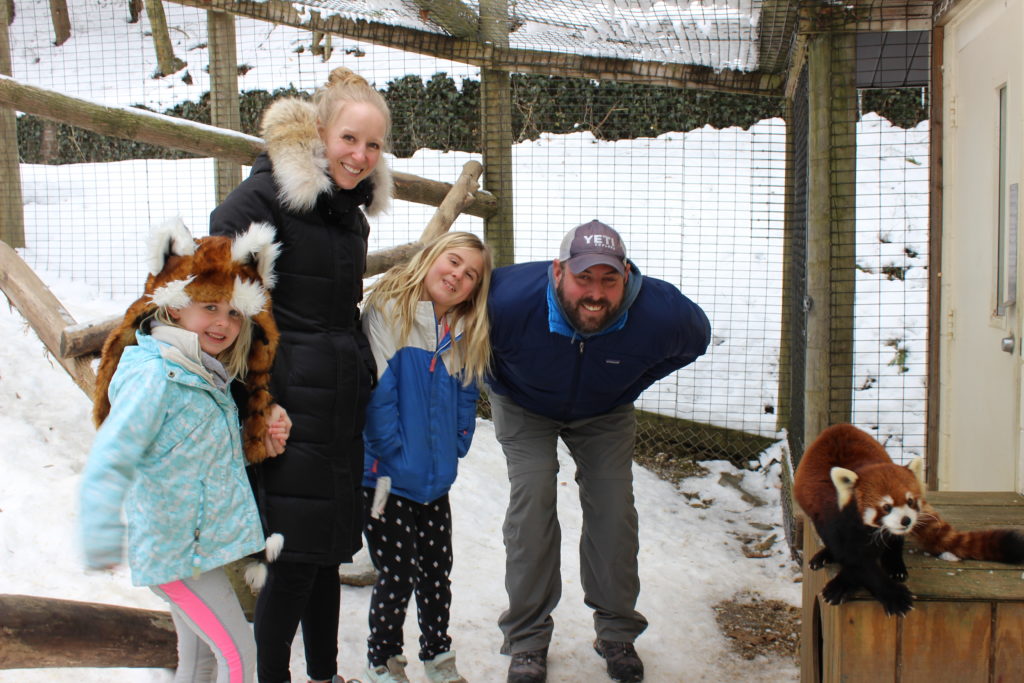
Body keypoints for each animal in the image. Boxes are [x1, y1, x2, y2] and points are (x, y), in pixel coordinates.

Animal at [794, 423, 1019, 618]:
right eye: (886, 506)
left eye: (910, 501)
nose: (906, 521)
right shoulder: (833, 522)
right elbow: (857, 560)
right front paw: (891, 595)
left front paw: (846, 583)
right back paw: (825, 555)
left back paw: (895, 564)